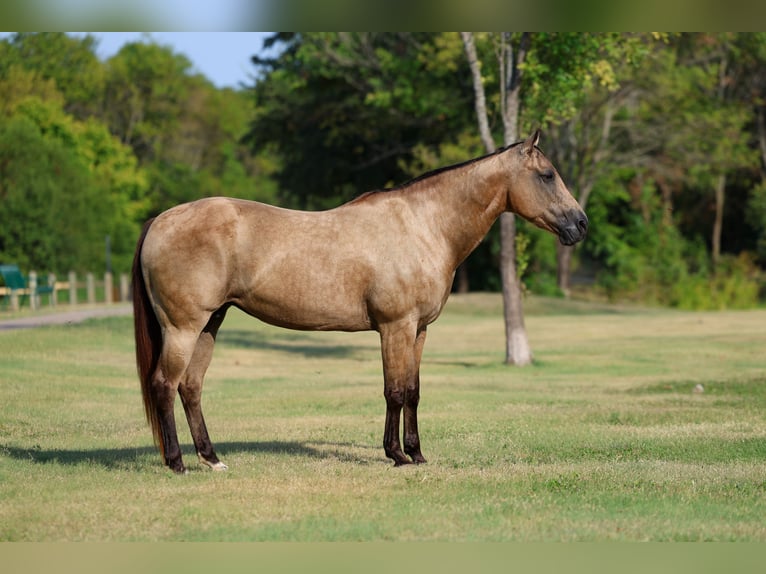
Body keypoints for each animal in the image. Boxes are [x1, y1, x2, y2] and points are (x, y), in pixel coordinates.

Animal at [132, 130, 588, 474]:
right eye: (547, 175)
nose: (580, 224)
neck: (424, 225)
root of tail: (160, 220)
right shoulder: (395, 326)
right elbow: (394, 390)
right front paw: (397, 455)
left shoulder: (418, 330)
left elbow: (414, 391)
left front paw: (417, 453)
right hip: (183, 327)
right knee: (165, 385)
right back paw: (177, 463)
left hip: (210, 324)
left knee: (191, 387)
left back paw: (212, 459)